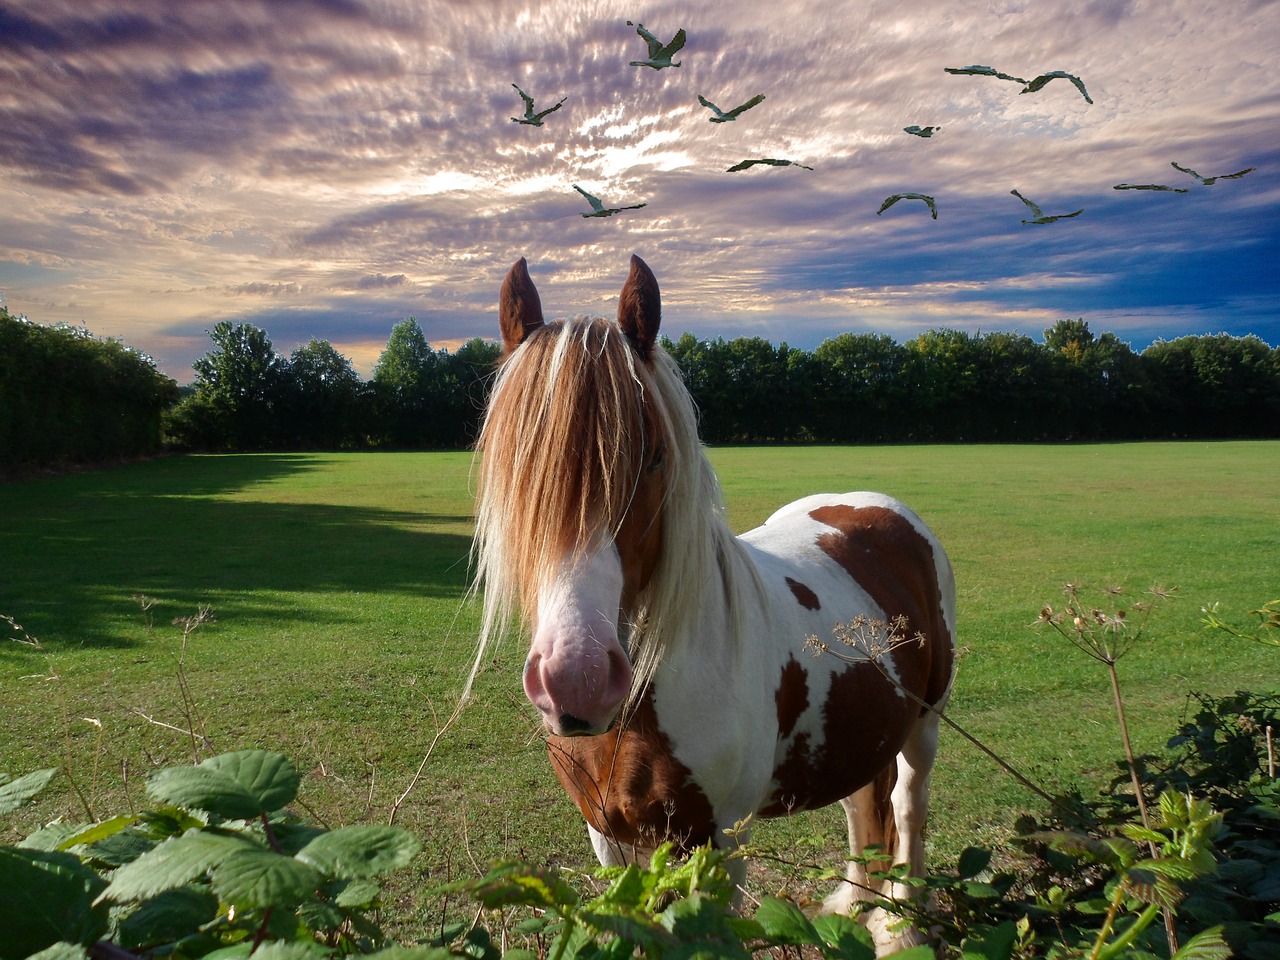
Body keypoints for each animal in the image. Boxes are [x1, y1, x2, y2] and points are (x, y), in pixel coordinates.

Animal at [476, 256, 957, 957]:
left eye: (653, 457)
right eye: (508, 465)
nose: (577, 681)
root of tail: (878, 506)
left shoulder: (719, 843)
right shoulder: (609, 838)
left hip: (924, 726)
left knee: (908, 809)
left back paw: (903, 925)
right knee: (862, 805)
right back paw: (854, 908)